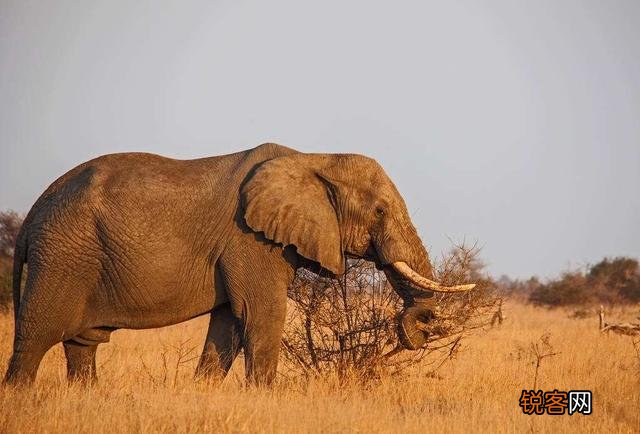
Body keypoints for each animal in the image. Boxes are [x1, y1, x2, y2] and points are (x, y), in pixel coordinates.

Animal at [4, 143, 474, 386]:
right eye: (378, 211)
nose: (421, 328)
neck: (312, 157)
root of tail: (32, 214)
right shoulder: (249, 240)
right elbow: (262, 315)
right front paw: (266, 398)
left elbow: (229, 323)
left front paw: (202, 393)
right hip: (63, 255)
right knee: (36, 336)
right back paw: (20, 396)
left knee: (82, 344)